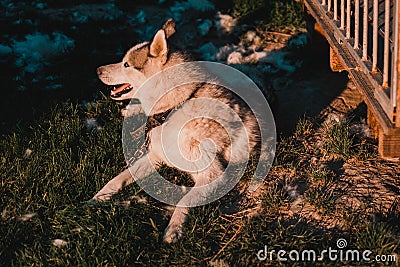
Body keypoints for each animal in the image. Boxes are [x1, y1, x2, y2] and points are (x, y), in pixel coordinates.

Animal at [94, 18, 268, 245]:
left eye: (126, 65)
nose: (97, 69)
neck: (174, 107)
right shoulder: (156, 156)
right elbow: (118, 178)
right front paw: (97, 198)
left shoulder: (213, 175)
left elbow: (184, 200)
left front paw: (174, 229)